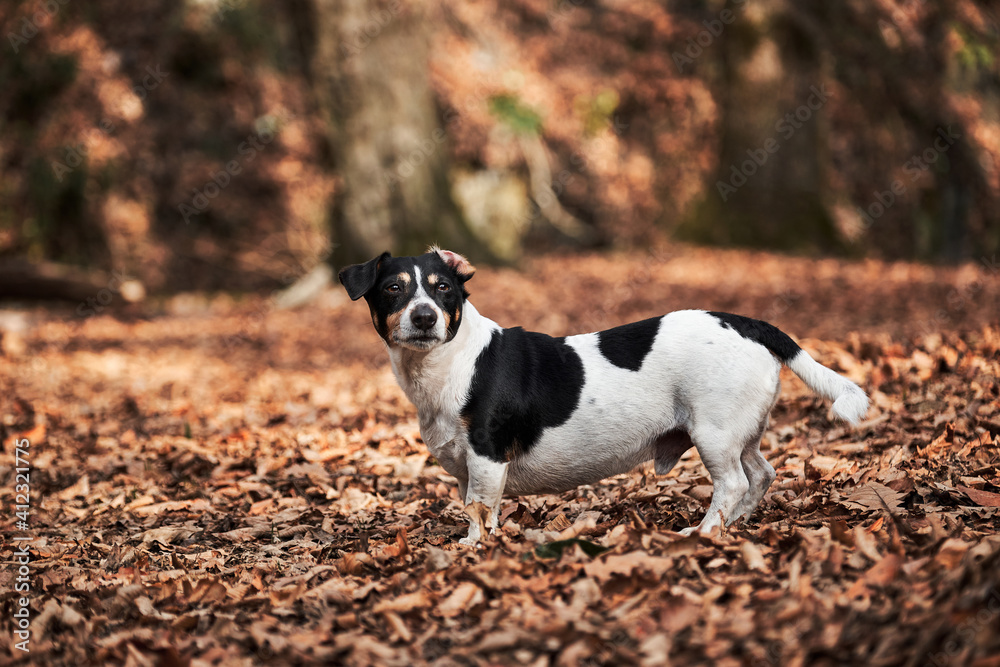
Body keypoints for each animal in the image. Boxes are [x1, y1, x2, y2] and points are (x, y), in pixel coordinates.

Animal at [340, 248, 872, 544]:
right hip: (742, 432)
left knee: (735, 483)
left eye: (443, 288)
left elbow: (482, 510)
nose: (425, 317)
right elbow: (472, 506)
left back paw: (704, 532)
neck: (451, 360)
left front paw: (475, 549)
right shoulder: (465, 467)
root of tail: (747, 323)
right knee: (761, 474)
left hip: (714, 433)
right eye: (393, 288)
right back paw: (733, 526)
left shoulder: (487, 460)